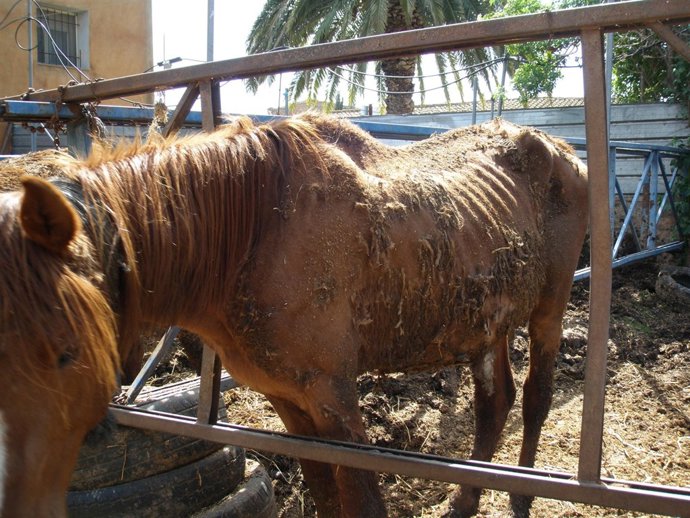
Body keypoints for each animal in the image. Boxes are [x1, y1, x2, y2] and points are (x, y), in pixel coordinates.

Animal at [0, 113, 588, 517]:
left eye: (66, 352)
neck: (254, 231)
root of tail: (562, 151)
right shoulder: (289, 403)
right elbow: (327, 499)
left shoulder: (335, 399)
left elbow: (364, 503)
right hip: (487, 320)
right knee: (494, 404)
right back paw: (465, 502)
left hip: (550, 307)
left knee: (535, 397)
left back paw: (520, 500)